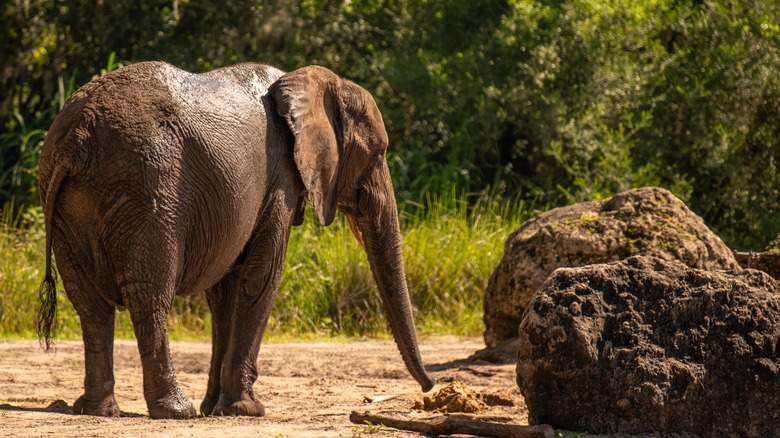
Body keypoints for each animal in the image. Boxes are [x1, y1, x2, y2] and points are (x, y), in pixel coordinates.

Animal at [38, 60, 438, 418]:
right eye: (378, 153)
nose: (430, 387)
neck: (303, 84)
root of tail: (78, 134)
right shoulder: (280, 177)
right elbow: (261, 276)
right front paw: (247, 409)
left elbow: (224, 292)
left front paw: (217, 408)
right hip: (148, 188)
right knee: (150, 297)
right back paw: (176, 411)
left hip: (64, 204)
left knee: (89, 305)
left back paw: (97, 410)